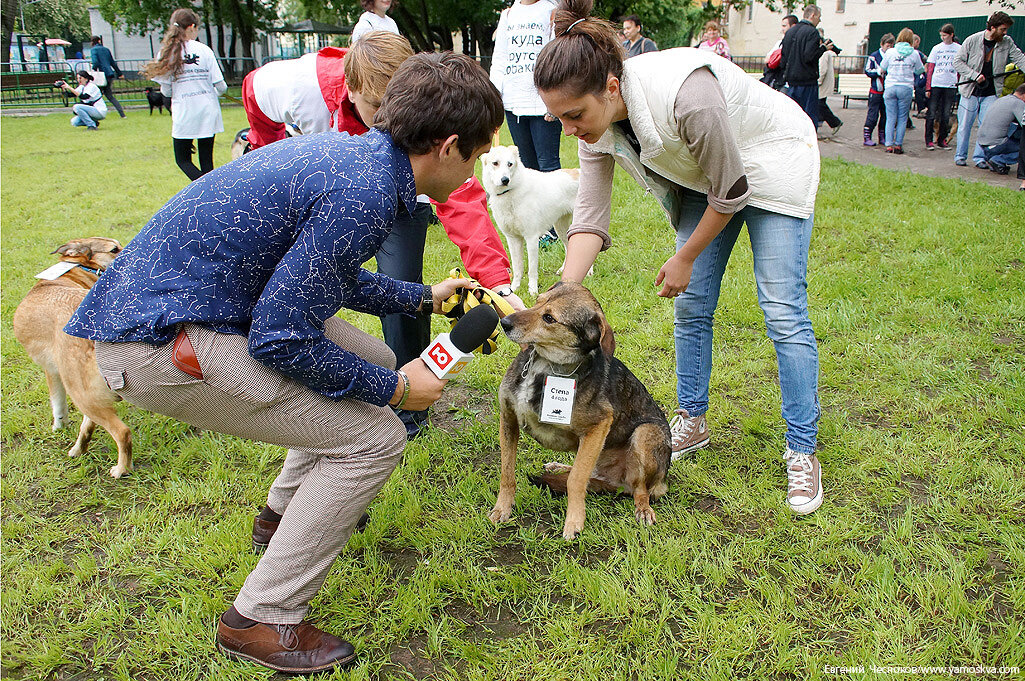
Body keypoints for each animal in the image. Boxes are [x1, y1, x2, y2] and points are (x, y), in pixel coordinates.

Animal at [11, 238, 134, 477]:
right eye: (114, 249)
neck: (77, 269)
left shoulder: (51, 371)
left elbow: (57, 404)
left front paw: (59, 426)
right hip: (84, 387)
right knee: (91, 423)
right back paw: (79, 448)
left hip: (76, 387)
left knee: (122, 432)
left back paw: (121, 469)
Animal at [477, 144, 582, 297]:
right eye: (495, 163)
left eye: (510, 164)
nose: (505, 180)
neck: (511, 191)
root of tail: (579, 172)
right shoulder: (513, 239)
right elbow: (517, 267)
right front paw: (514, 289)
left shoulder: (531, 238)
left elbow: (532, 270)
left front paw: (533, 291)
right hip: (560, 226)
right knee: (569, 248)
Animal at [489, 281, 672, 537]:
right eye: (537, 302)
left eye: (549, 318)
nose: (504, 322)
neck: (544, 365)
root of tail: (615, 482)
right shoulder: (508, 419)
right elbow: (507, 472)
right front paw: (502, 508)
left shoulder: (599, 427)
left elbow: (575, 480)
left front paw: (574, 522)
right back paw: (557, 466)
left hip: (645, 434)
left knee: (640, 489)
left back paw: (643, 509)